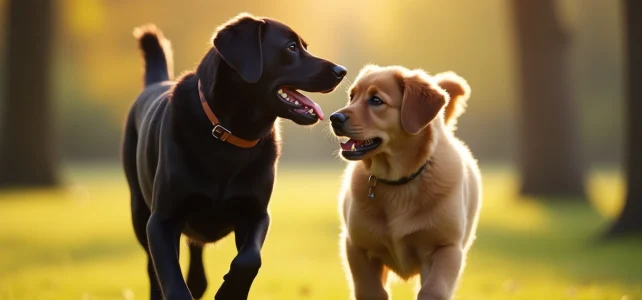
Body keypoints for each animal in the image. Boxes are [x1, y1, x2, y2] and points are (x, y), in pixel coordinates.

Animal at [123, 13, 348, 300]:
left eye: (304, 46)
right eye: (291, 47)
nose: (341, 71)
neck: (231, 135)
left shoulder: (257, 214)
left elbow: (250, 259)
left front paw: (230, 291)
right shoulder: (161, 221)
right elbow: (172, 280)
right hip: (139, 212)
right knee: (154, 273)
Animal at [328, 64, 478, 298]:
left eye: (376, 100)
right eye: (352, 97)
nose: (334, 118)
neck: (398, 182)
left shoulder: (446, 249)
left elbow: (432, 291)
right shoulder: (357, 247)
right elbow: (372, 291)